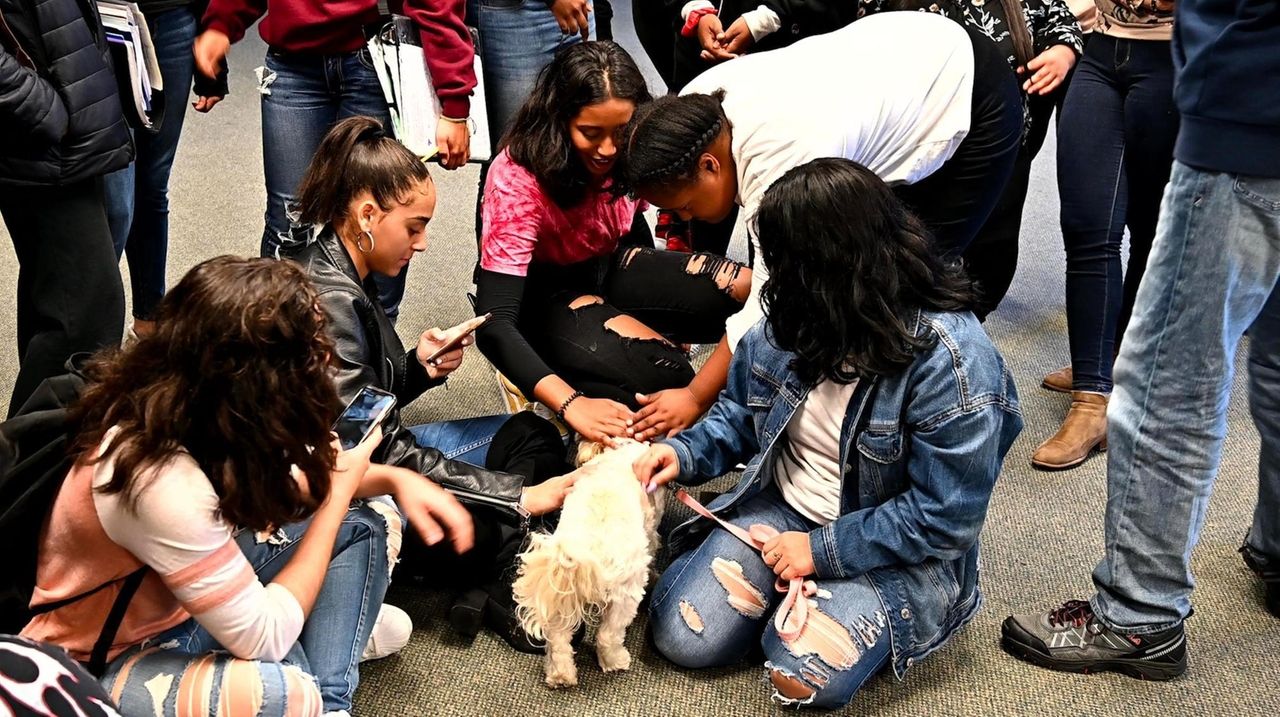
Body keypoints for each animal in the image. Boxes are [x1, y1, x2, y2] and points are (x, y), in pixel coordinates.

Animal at [514, 437, 665, 691]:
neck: (619, 453)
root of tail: (586, 544)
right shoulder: (651, 529)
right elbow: (653, 545)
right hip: (625, 594)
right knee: (608, 635)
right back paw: (615, 661)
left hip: (560, 598)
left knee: (558, 640)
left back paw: (560, 675)